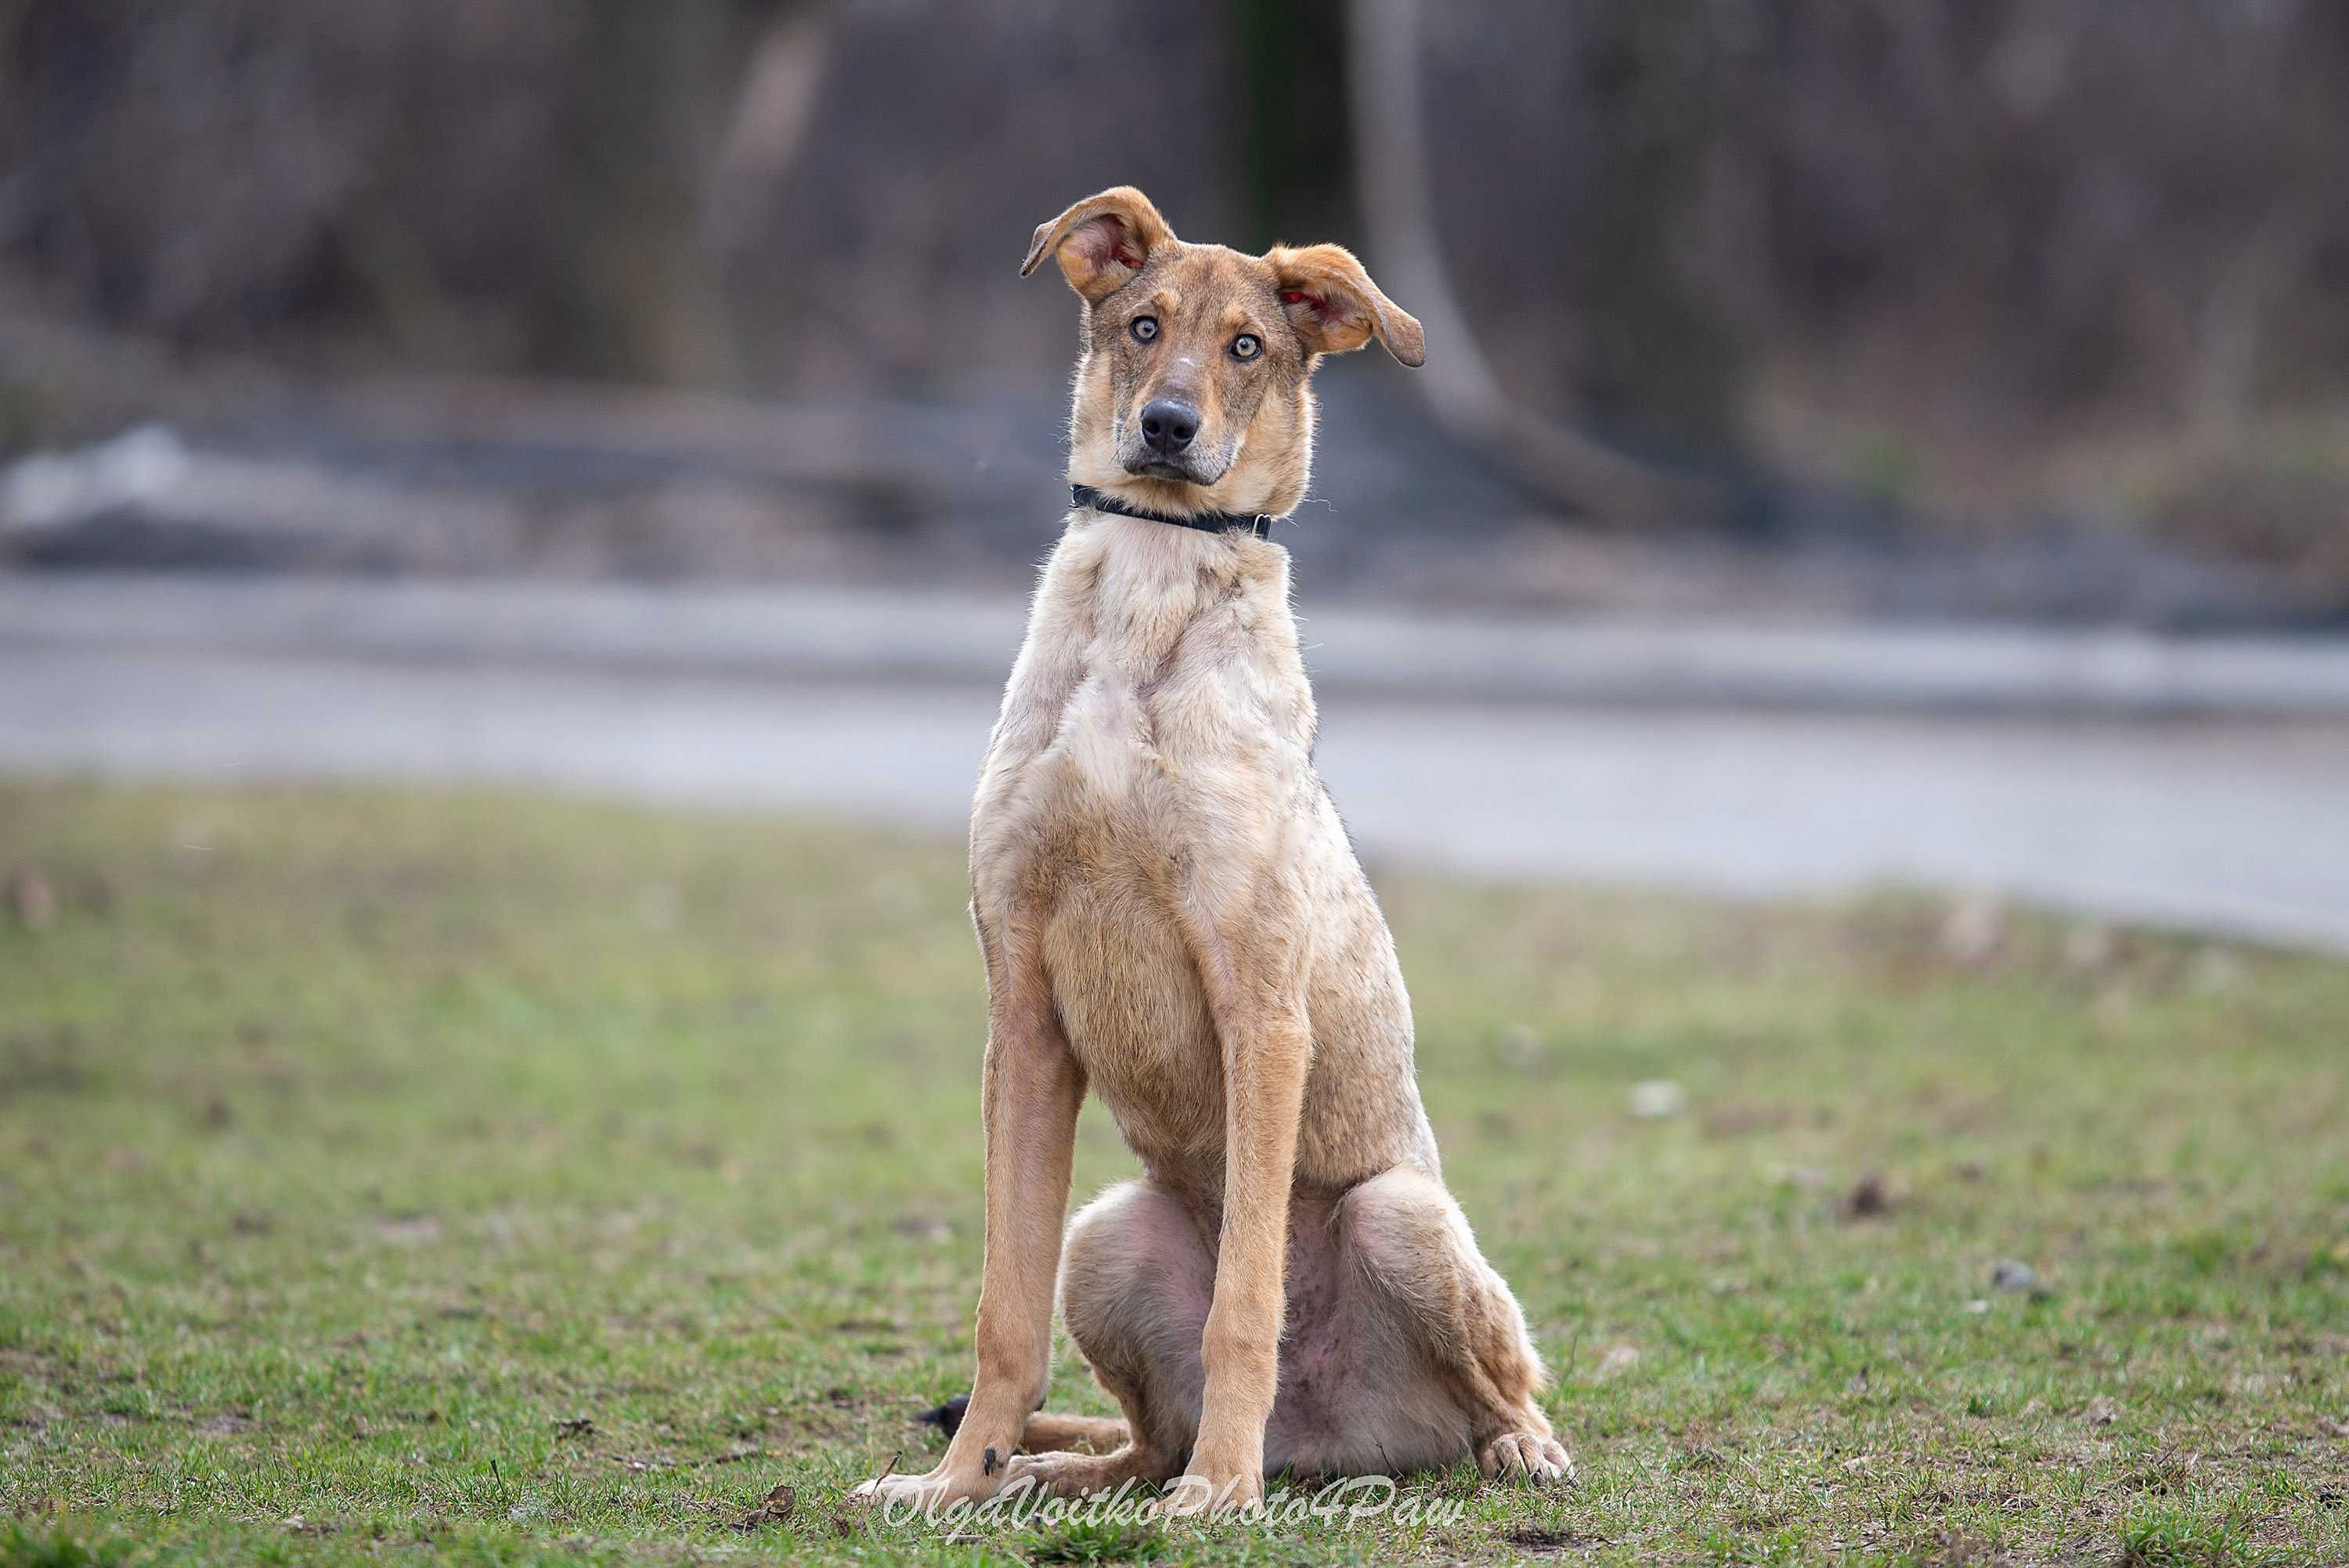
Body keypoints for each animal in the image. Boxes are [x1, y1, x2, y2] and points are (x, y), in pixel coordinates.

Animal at [855, 186, 1569, 1521]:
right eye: (1143, 324)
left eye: (1247, 346)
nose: (1168, 426)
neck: (1151, 580)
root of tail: (1327, 1446)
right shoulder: (1022, 1008)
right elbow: (1002, 1309)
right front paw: (955, 1477)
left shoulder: (1260, 1005)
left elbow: (1247, 1294)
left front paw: (1219, 1496)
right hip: (1107, 1235)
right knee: (1141, 1432)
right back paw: (1062, 1467)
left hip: (1403, 1214)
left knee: (1505, 1394)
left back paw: (1475, 1452)